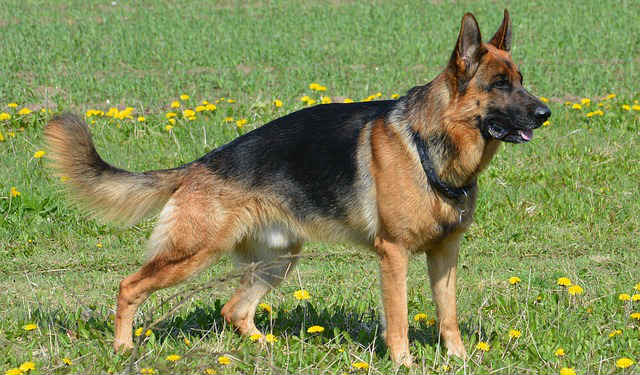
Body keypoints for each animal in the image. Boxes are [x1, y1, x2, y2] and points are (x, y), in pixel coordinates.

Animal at [45, 9, 548, 368]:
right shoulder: (395, 254)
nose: (546, 113)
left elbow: (448, 315)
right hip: (192, 253)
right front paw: (404, 363)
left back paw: (265, 347)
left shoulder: (445, 254)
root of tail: (201, 165)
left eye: (521, 81)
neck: (428, 143)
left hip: (279, 260)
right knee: (129, 286)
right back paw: (123, 349)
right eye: (499, 84)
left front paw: (459, 359)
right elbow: (400, 319)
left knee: (235, 310)